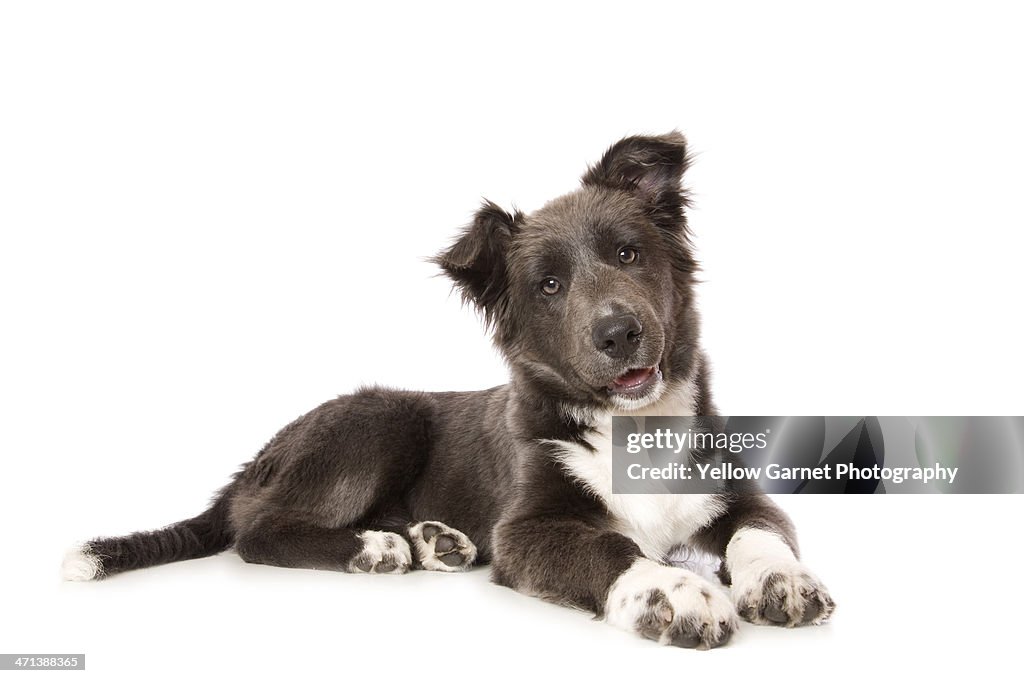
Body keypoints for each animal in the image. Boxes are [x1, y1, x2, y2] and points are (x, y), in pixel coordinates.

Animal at [59, 131, 831, 651]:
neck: (630, 426)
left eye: (628, 253)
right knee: (257, 529)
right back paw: (377, 547)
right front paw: (674, 592)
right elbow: (613, 549)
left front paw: (779, 580)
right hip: (377, 417)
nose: (619, 333)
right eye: (549, 287)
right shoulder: (525, 529)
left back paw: (434, 540)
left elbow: (765, 530)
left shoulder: (736, 493)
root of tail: (258, 458)